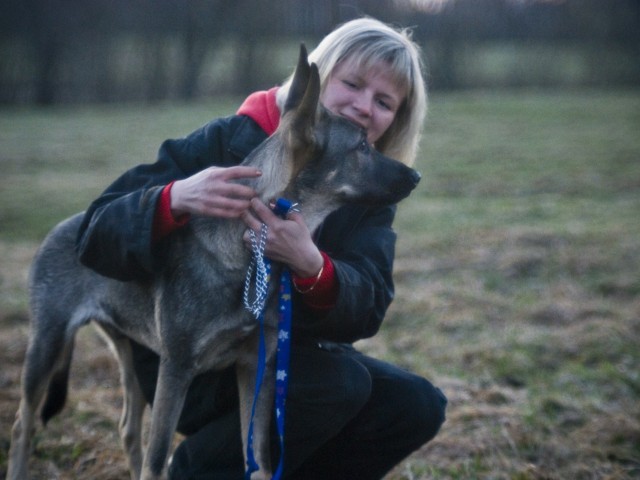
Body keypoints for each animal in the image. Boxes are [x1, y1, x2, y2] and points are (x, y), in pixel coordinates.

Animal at [8, 45, 420, 480]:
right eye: (361, 146)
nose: (416, 175)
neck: (249, 252)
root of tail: (60, 229)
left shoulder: (257, 367)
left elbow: (258, 457)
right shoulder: (176, 369)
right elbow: (157, 460)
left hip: (130, 354)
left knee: (127, 429)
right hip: (48, 345)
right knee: (24, 423)